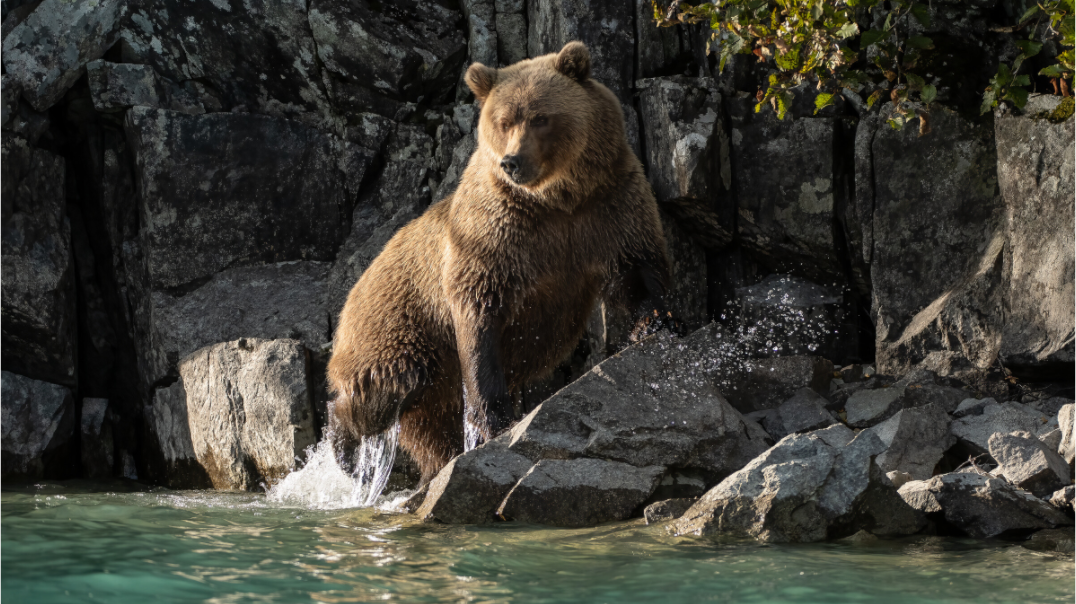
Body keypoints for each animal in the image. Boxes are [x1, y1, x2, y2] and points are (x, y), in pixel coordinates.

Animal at [327, 41, 674, 485]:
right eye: (504, 120)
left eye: (541, 117)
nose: (512, 161)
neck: (556, 199)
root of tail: (350, 293)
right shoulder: (493, 237)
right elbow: (481, 324)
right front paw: (493, 421)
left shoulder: (608, 205)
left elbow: (638, 272)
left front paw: (655, 328)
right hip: (399, 323)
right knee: (389, 384)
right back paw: (342, 443)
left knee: (431, 433)